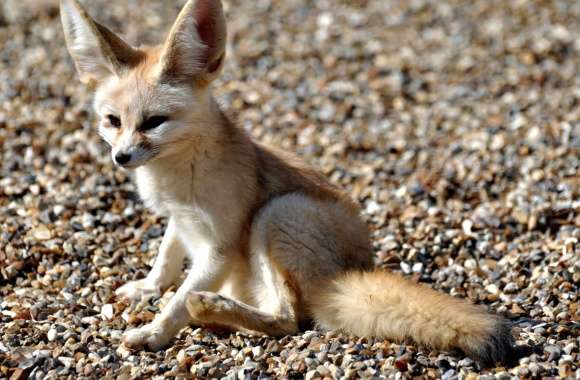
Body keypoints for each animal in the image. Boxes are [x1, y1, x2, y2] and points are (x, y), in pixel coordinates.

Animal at [60, 0, 512, 366]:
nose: (121, 158)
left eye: (154, 122)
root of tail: (346, 276)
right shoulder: (179, 220)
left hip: (276, 214)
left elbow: (176, 302)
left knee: (289, 321)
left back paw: (211, 308)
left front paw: (153, 333)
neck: (176, 175)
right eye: (112, 121)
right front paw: (147, 288)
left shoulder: (221, 248)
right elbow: (165, 260)